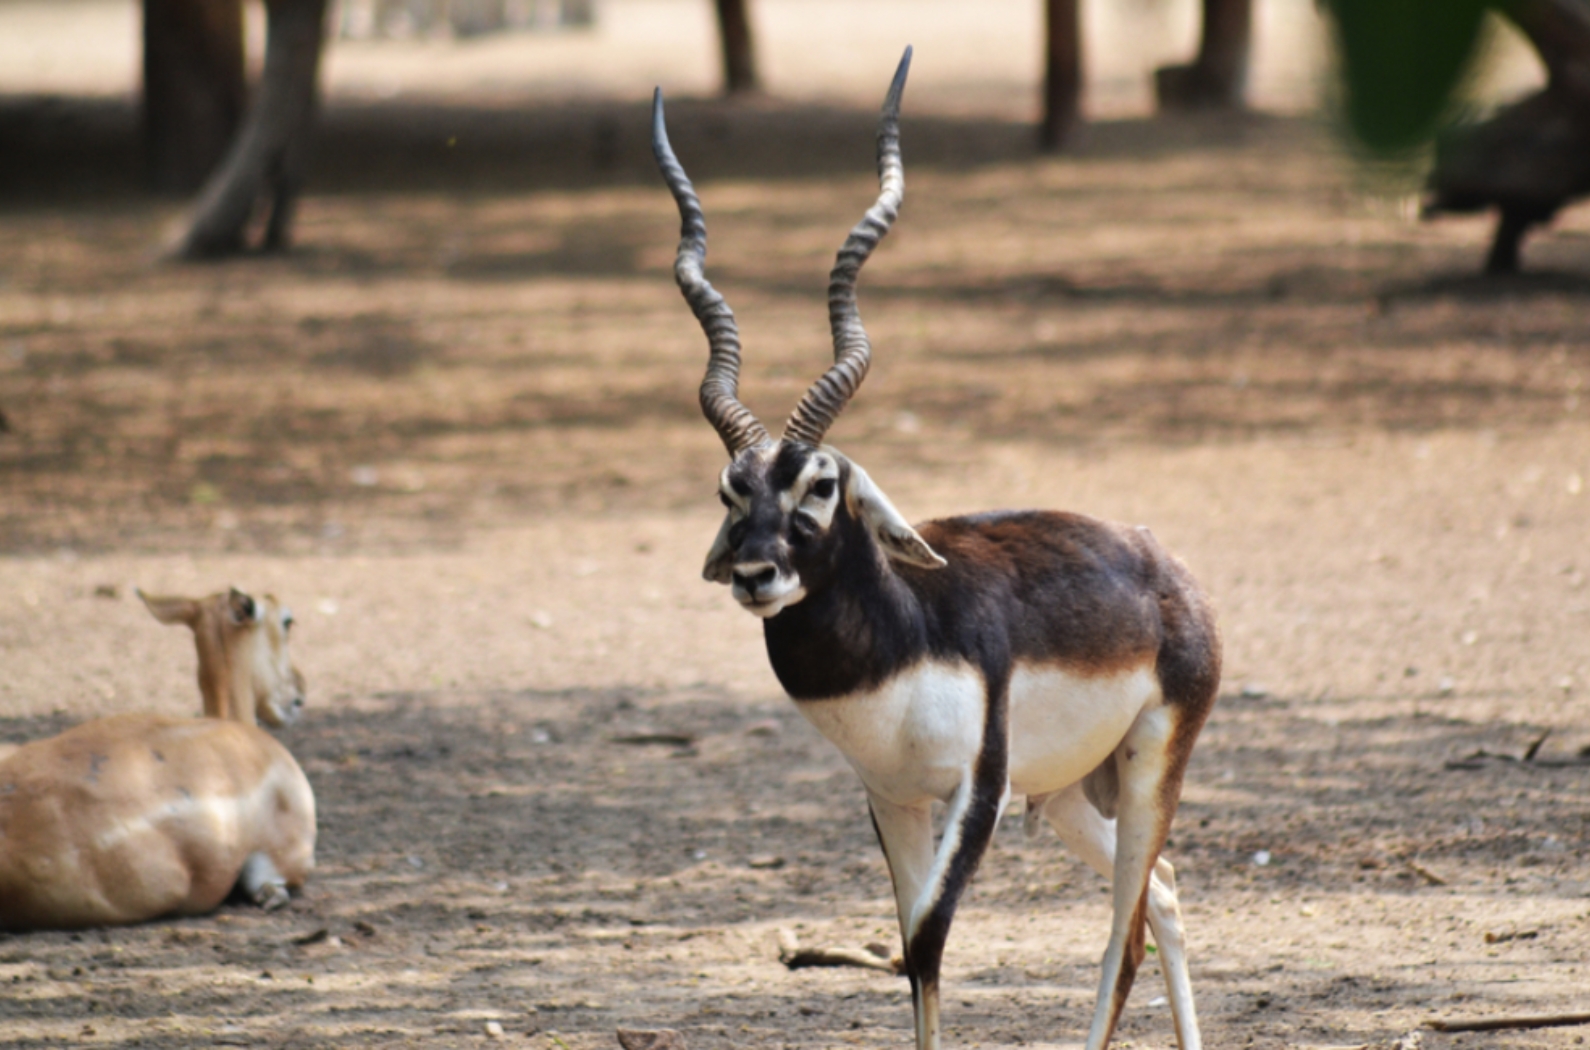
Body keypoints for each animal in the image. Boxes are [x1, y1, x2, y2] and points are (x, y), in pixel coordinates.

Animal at [651, 47, 1221, 1050]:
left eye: (822, 485)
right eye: (731, 490)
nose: (756, 573)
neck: (901, 641)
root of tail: (1164, 568)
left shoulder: (976, 791)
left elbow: (929, 937)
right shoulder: (890, 797)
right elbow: (913, 954)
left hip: (1153, 762)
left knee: (1123, 932)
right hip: (1068, 790)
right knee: (1163, 890)